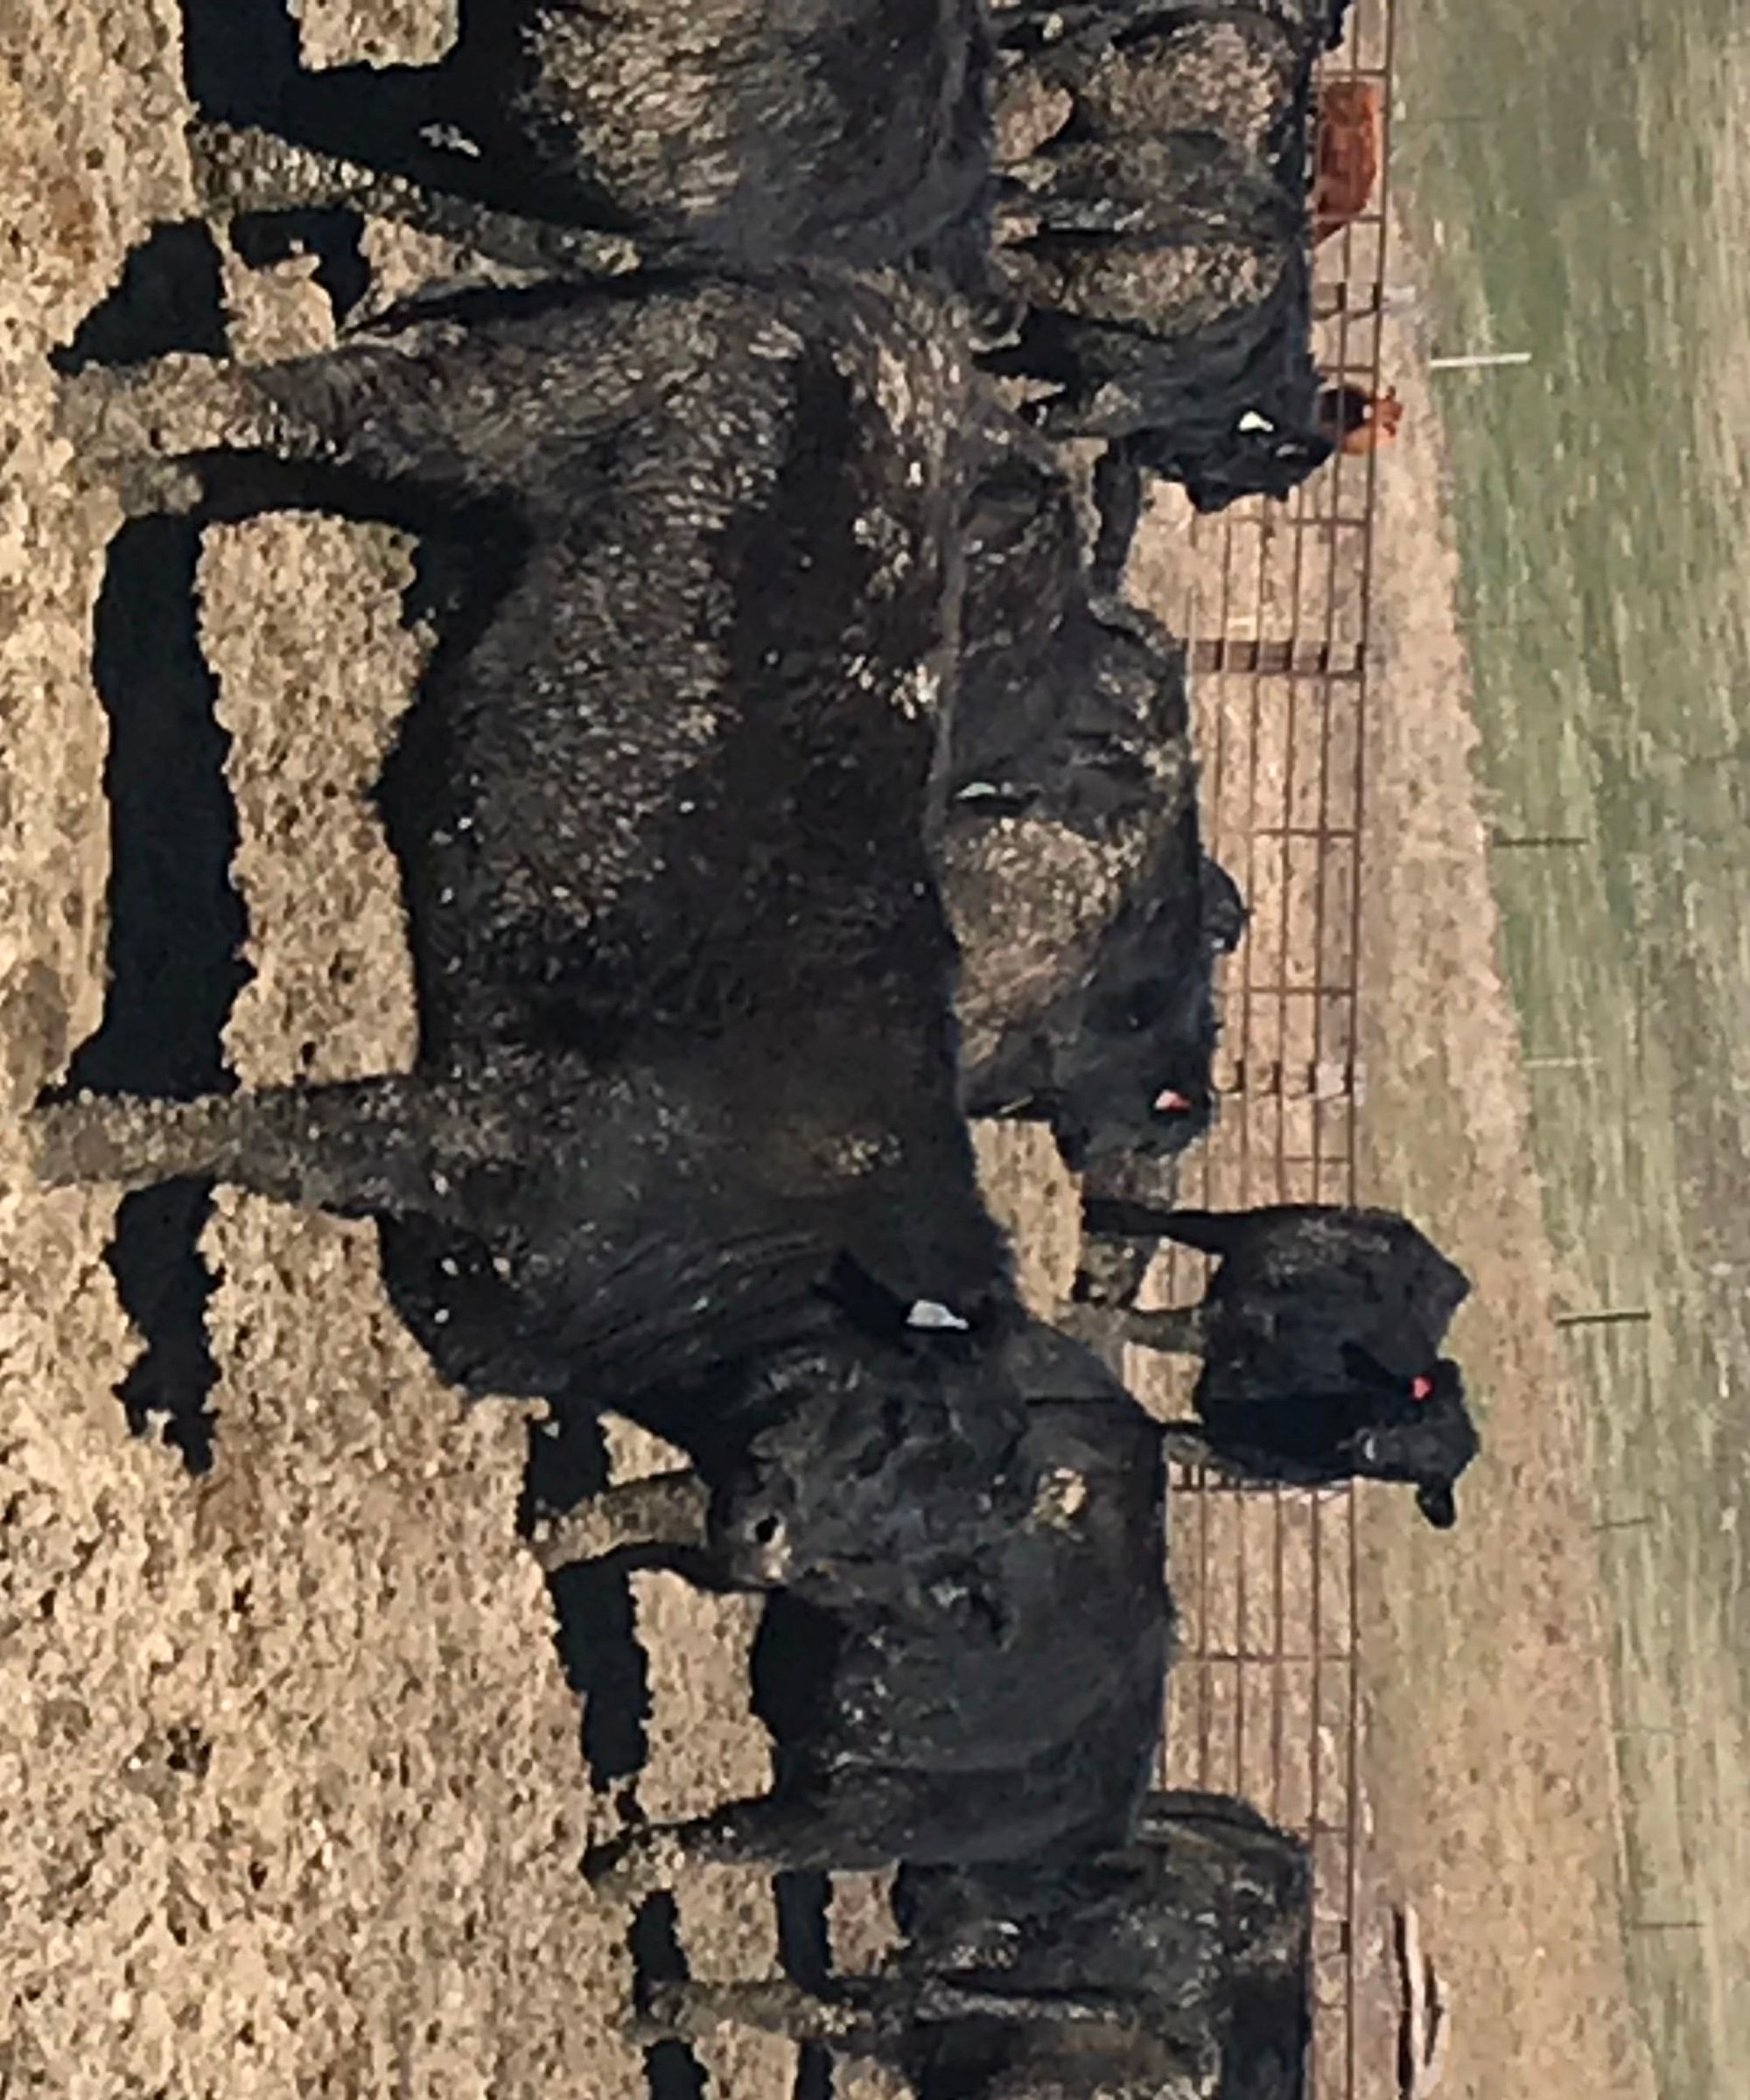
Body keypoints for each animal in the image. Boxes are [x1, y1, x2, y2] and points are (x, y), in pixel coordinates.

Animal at [1066, 1205, 1480, 1527]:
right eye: (1423, 1407)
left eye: (1424, 1471)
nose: (1376, 1448)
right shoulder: (1234, 1320)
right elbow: (1145, 1326)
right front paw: (1079, 1319)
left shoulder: (1232, 1449)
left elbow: (1166, 1438)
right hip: (1259, 1227)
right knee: (1174, 1221)